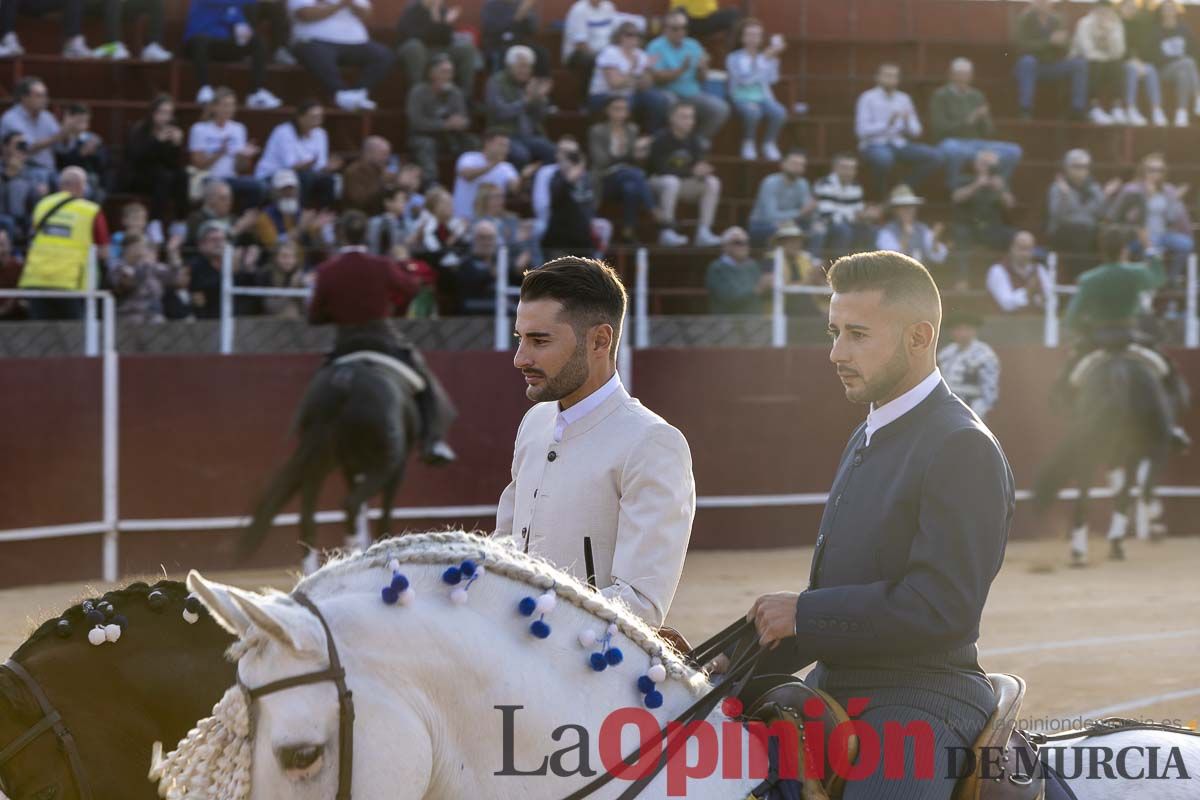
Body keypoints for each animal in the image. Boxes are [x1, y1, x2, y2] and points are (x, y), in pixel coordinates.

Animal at [241, 333, 434, 575]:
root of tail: (345, 381)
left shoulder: (350, 466)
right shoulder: (396, 468)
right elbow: (384, 511)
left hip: (317, 455)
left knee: (302, 513)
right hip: (382, 463)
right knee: (350, 503)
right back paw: (355, 554)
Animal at [1032, 347, 1190, 566]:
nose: (1185, 441)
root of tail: (1119, 378)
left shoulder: (1116, 456)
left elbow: (1120, 489)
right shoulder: (1144, 452)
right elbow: (1133, 488)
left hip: (1092, 448)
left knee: (1087, 496)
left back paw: (1080, 552)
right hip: (1138, 449)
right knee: (1136, 488)